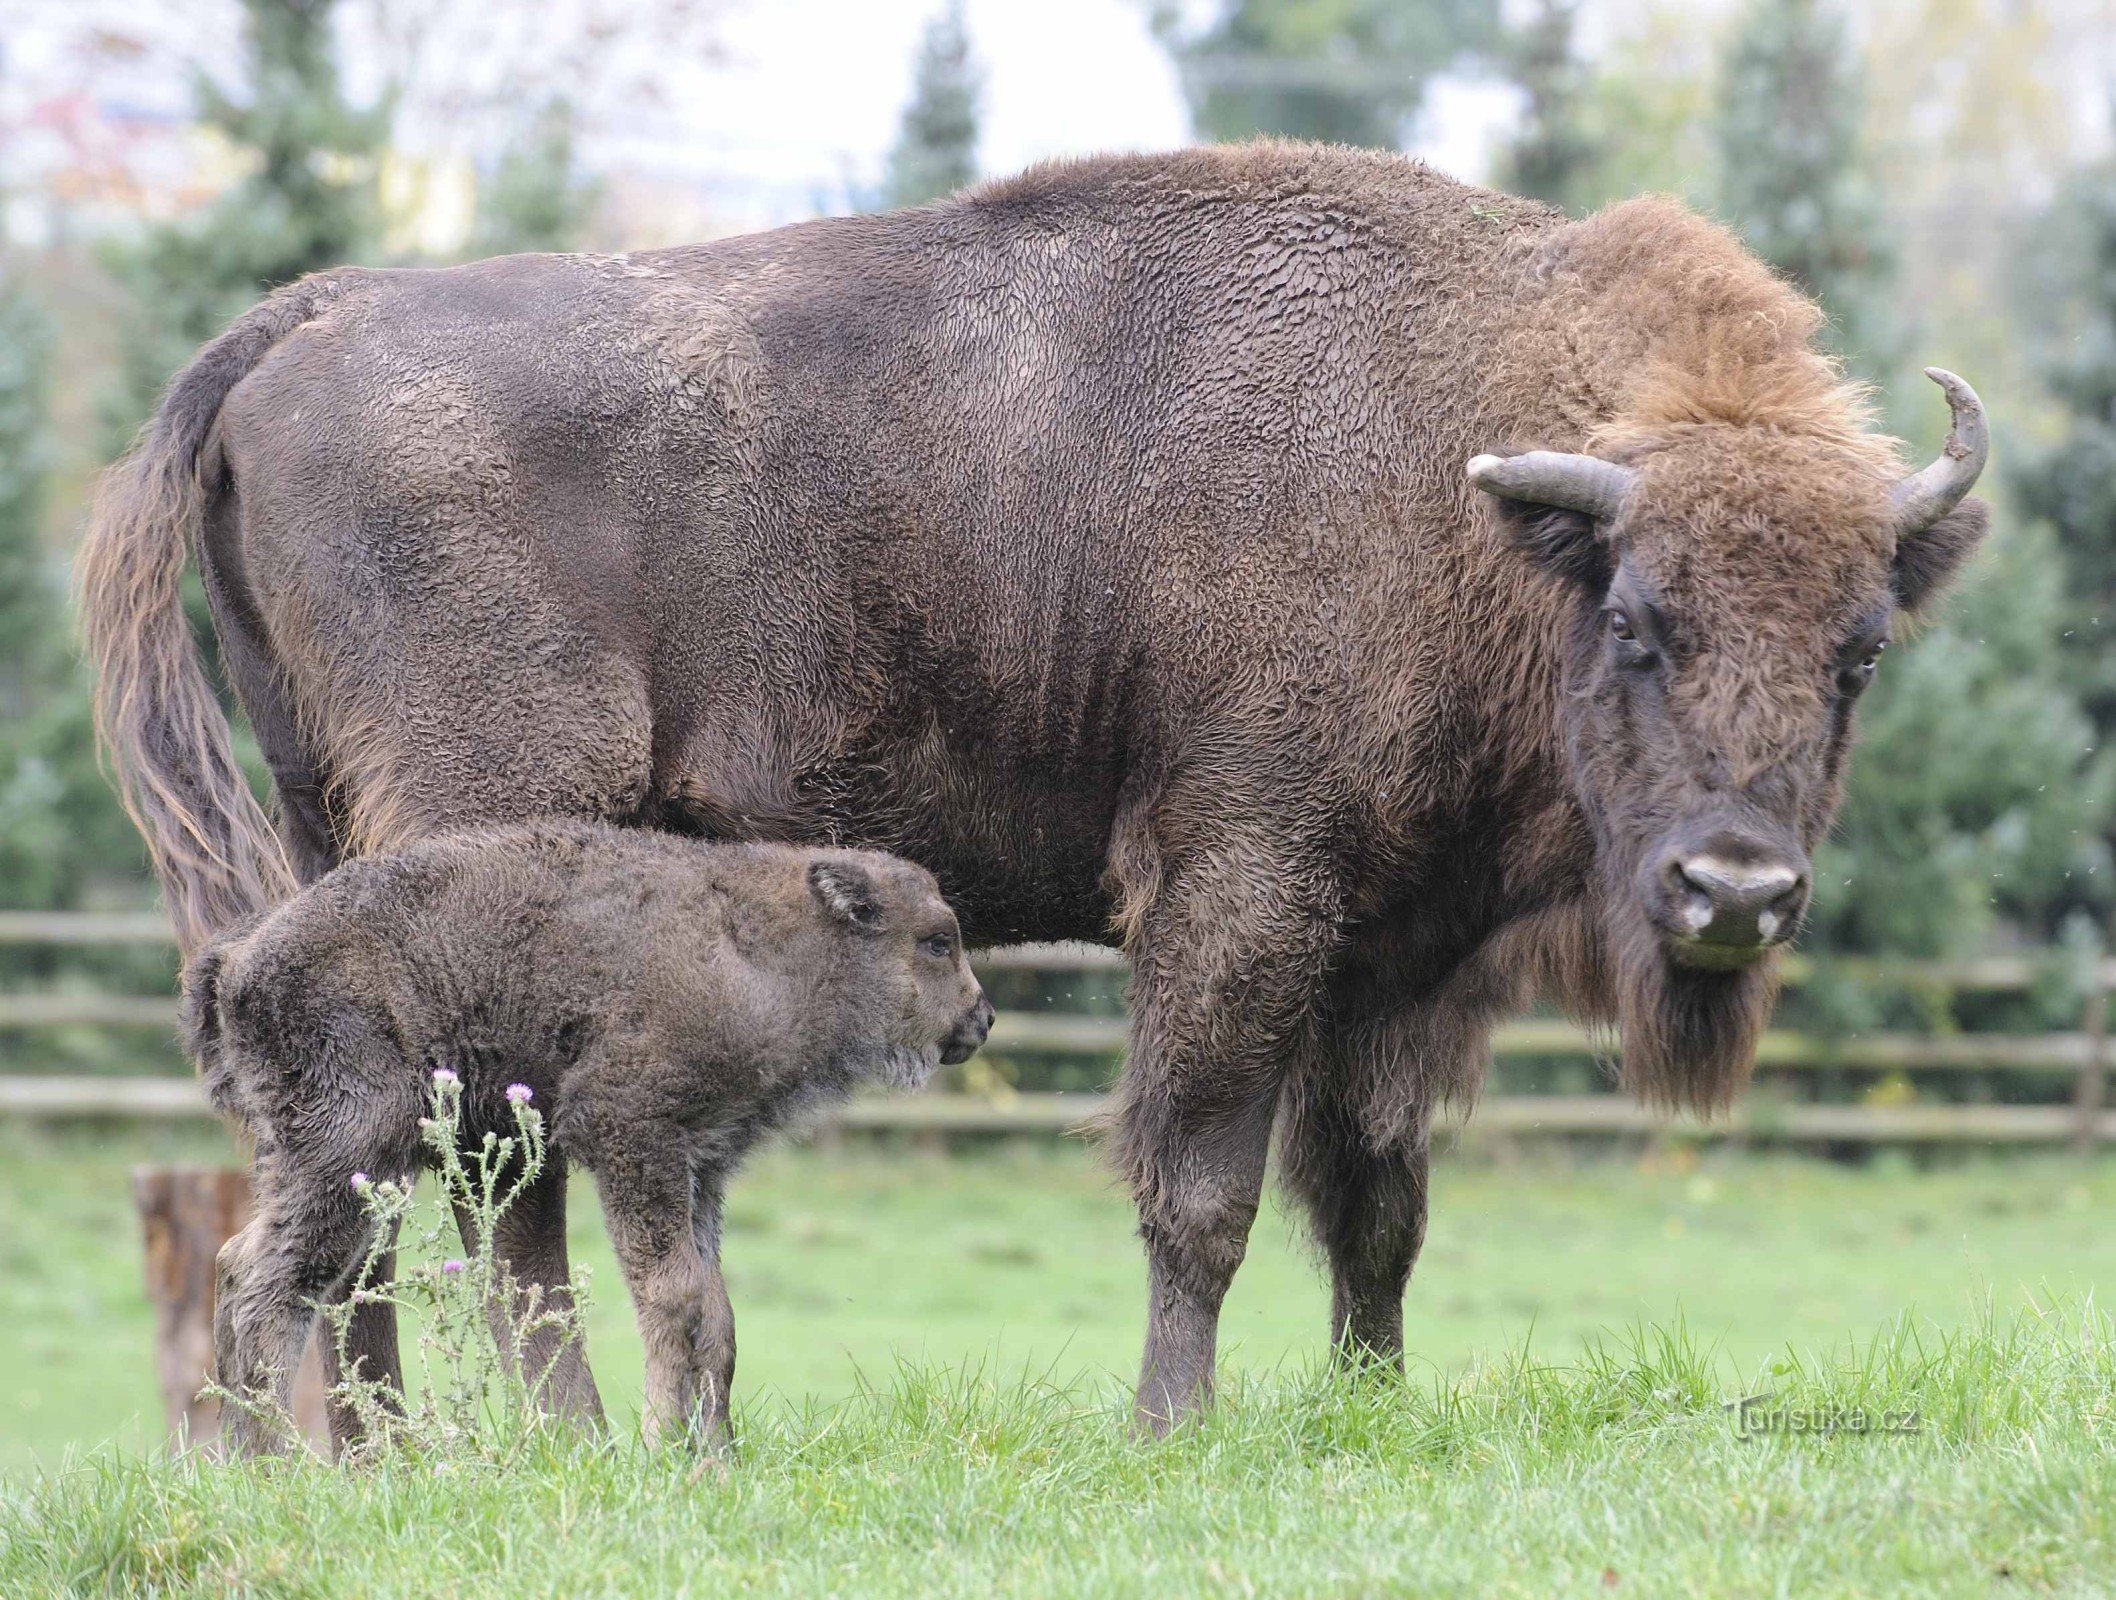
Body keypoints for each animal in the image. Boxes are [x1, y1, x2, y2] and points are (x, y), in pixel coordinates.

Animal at [184, 816, 990, 1456]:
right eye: (936, 941)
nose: (981, 1019)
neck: (761, 946)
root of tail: (239, 960)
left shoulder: (701, 1165)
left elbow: (716, 1312)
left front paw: (717, 1454)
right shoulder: (631, 1134)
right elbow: (676, 1297)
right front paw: (666, 1448)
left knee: (237, 1260)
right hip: (351, 1150)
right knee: (269, 1285)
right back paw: (275, 1466)